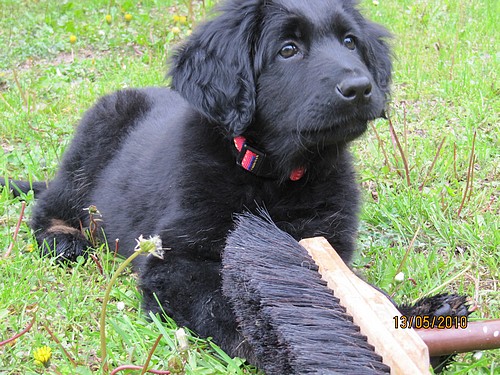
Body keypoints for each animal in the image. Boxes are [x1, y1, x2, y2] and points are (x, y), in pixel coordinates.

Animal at [7, 0, 392, 366]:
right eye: (288, 49)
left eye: (350, 42)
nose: (360, 88)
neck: (275, 177)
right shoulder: (173, 259)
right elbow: (227, 302)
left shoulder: (327, 246)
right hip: (91, 143)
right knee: (51, 204)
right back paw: (63, 240)